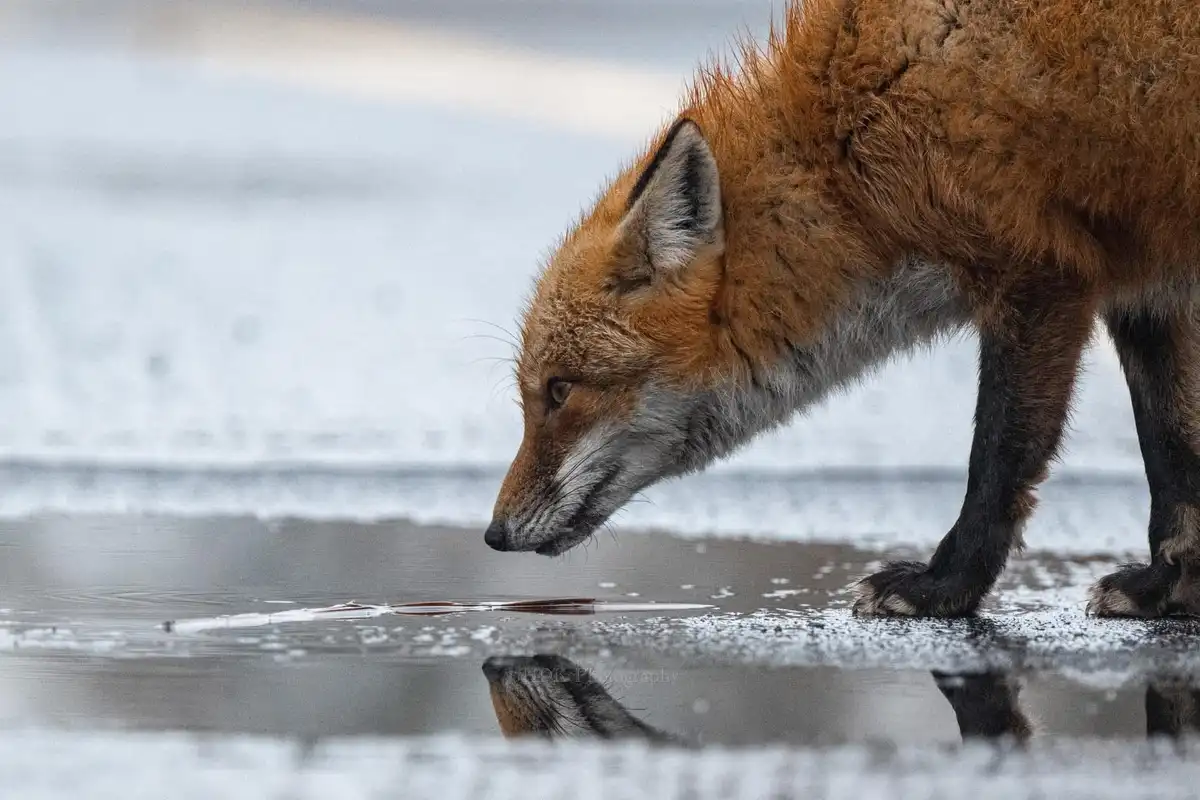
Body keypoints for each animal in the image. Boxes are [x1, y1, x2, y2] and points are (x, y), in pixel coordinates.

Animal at [483, 0, 1200, 619]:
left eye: (560, 390)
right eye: (534, 393)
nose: (493, 533)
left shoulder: (1040, 279)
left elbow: (999, 459)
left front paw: (944, 587)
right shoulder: (1142, 287)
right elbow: (1172, 451)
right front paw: (1168, 586)